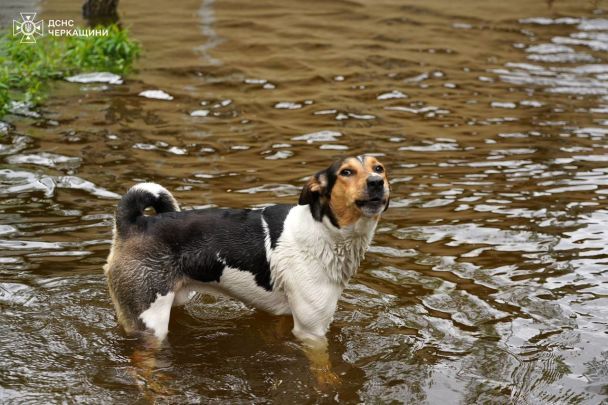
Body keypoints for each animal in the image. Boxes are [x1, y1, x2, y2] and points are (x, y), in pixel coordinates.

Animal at [104, 155, 390, 348]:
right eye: (346, 172)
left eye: (379, 168)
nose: (377, 182)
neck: (323, 230)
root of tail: (133, 224)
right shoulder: (312, 331)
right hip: (150, 321)